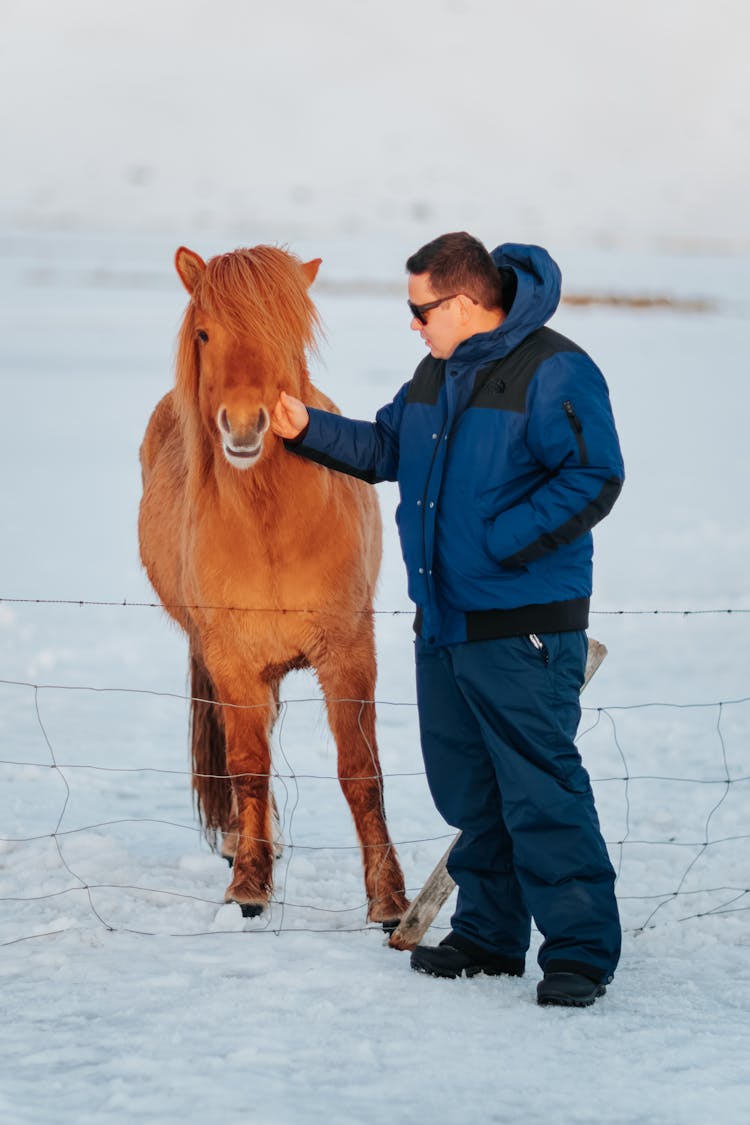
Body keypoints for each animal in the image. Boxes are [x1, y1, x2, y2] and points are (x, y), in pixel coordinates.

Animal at [140, 244, 411, 922]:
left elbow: (360, 772)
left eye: (284, 335)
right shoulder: (232, 660)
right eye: (205, 333)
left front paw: (388, 898)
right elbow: (249, 766)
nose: (243, 426)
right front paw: (250, 886)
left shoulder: (348, 651)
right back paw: (243, 842)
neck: (271, 527)